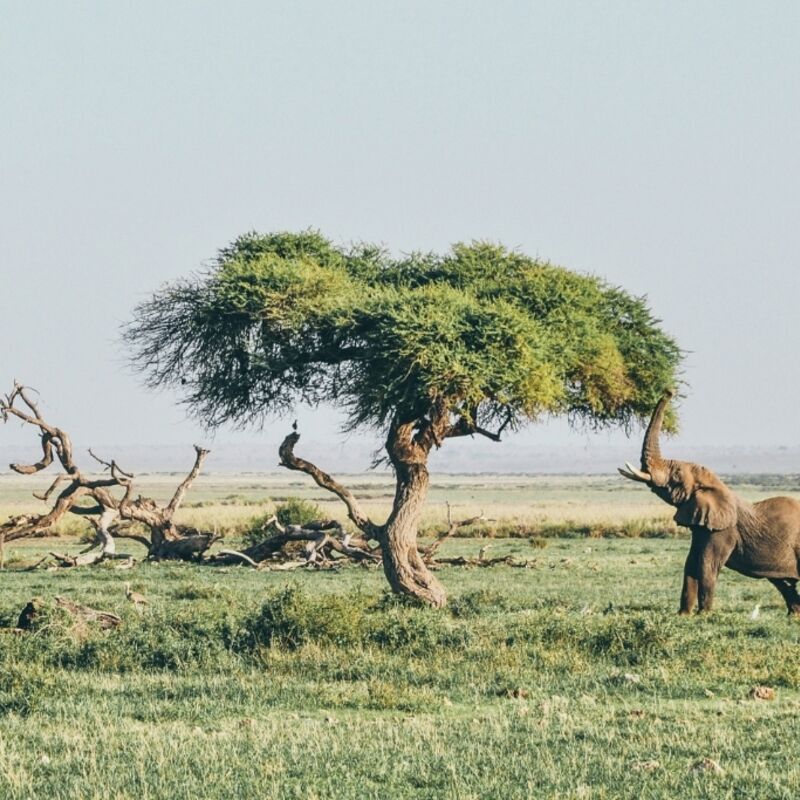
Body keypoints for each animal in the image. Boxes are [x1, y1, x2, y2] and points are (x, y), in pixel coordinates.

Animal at [620, 392, 800, 612]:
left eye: (676, 476)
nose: (669, 392)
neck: (715, 485)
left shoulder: (723, 530)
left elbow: (706, 565)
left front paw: (703, 615)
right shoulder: (701, 525)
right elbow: (690, 563)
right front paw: (684, 615)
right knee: (784, 583)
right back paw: (794, 615)